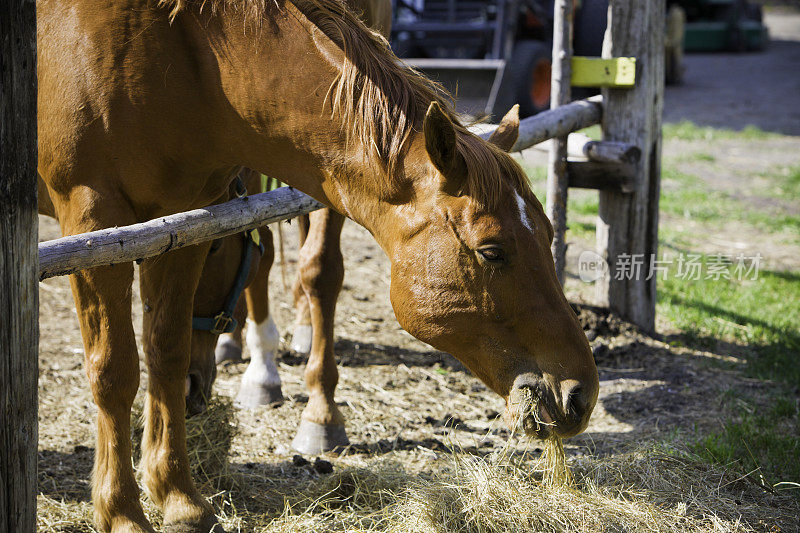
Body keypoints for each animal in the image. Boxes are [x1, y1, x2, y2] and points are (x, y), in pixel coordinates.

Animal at [40, 2, 596, 528]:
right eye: (492, 251)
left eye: (549, 235)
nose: (580, 394)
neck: (188, 53)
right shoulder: (93, 221)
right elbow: (114, 372)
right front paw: (121, 513)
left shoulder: (184, 220)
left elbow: (166, 353)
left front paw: (179, 501)